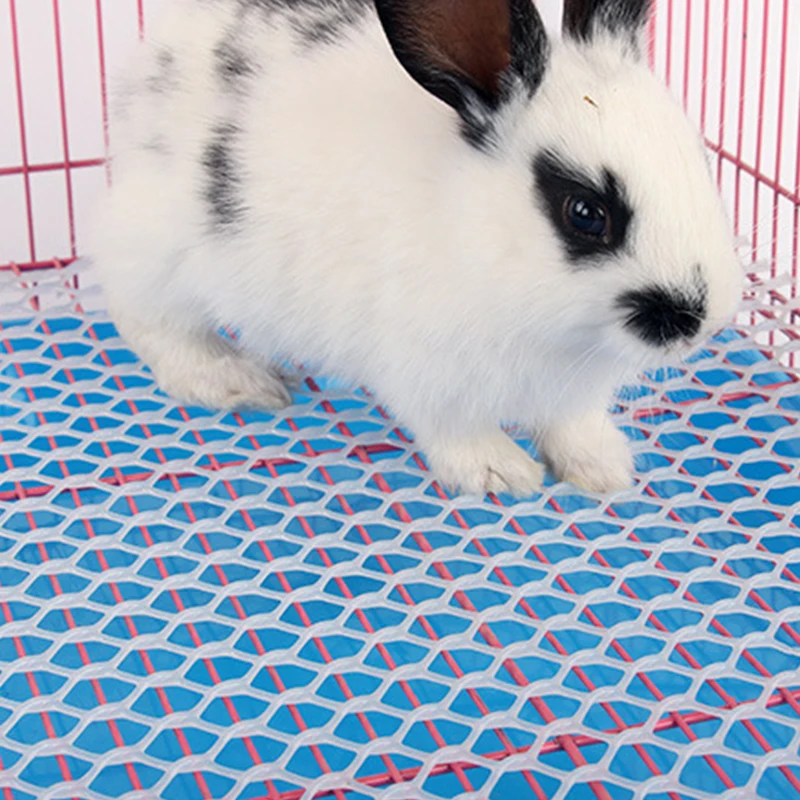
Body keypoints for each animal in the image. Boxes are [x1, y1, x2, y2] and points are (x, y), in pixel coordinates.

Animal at [87, 0, 743, 497]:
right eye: (586, 213)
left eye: (702, 161)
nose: (700, 321)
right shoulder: (425, 372)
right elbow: (454, 430)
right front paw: (502, 474)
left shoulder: (570, 394)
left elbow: (573, 427)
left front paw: (602, 470)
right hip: (158, 254)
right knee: (146, 319)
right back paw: (237, 381)